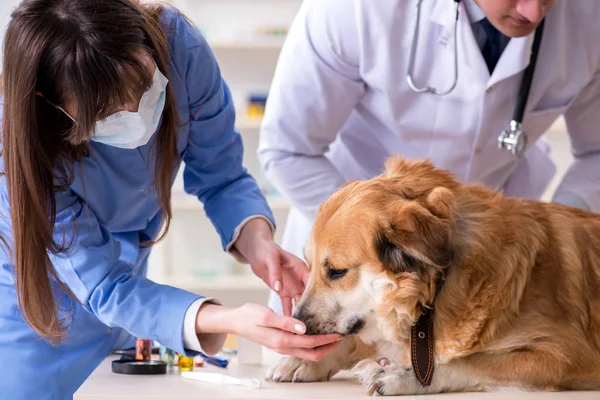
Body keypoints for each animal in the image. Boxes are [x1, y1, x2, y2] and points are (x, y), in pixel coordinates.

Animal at [266, 155, 600, 394]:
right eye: (308, 265)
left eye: (336, 271)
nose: (297, 325)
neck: (439, 288)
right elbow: (360, 340)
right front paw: (303, 360)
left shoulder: (565, 354)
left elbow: (470, 361)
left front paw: (402, 374)